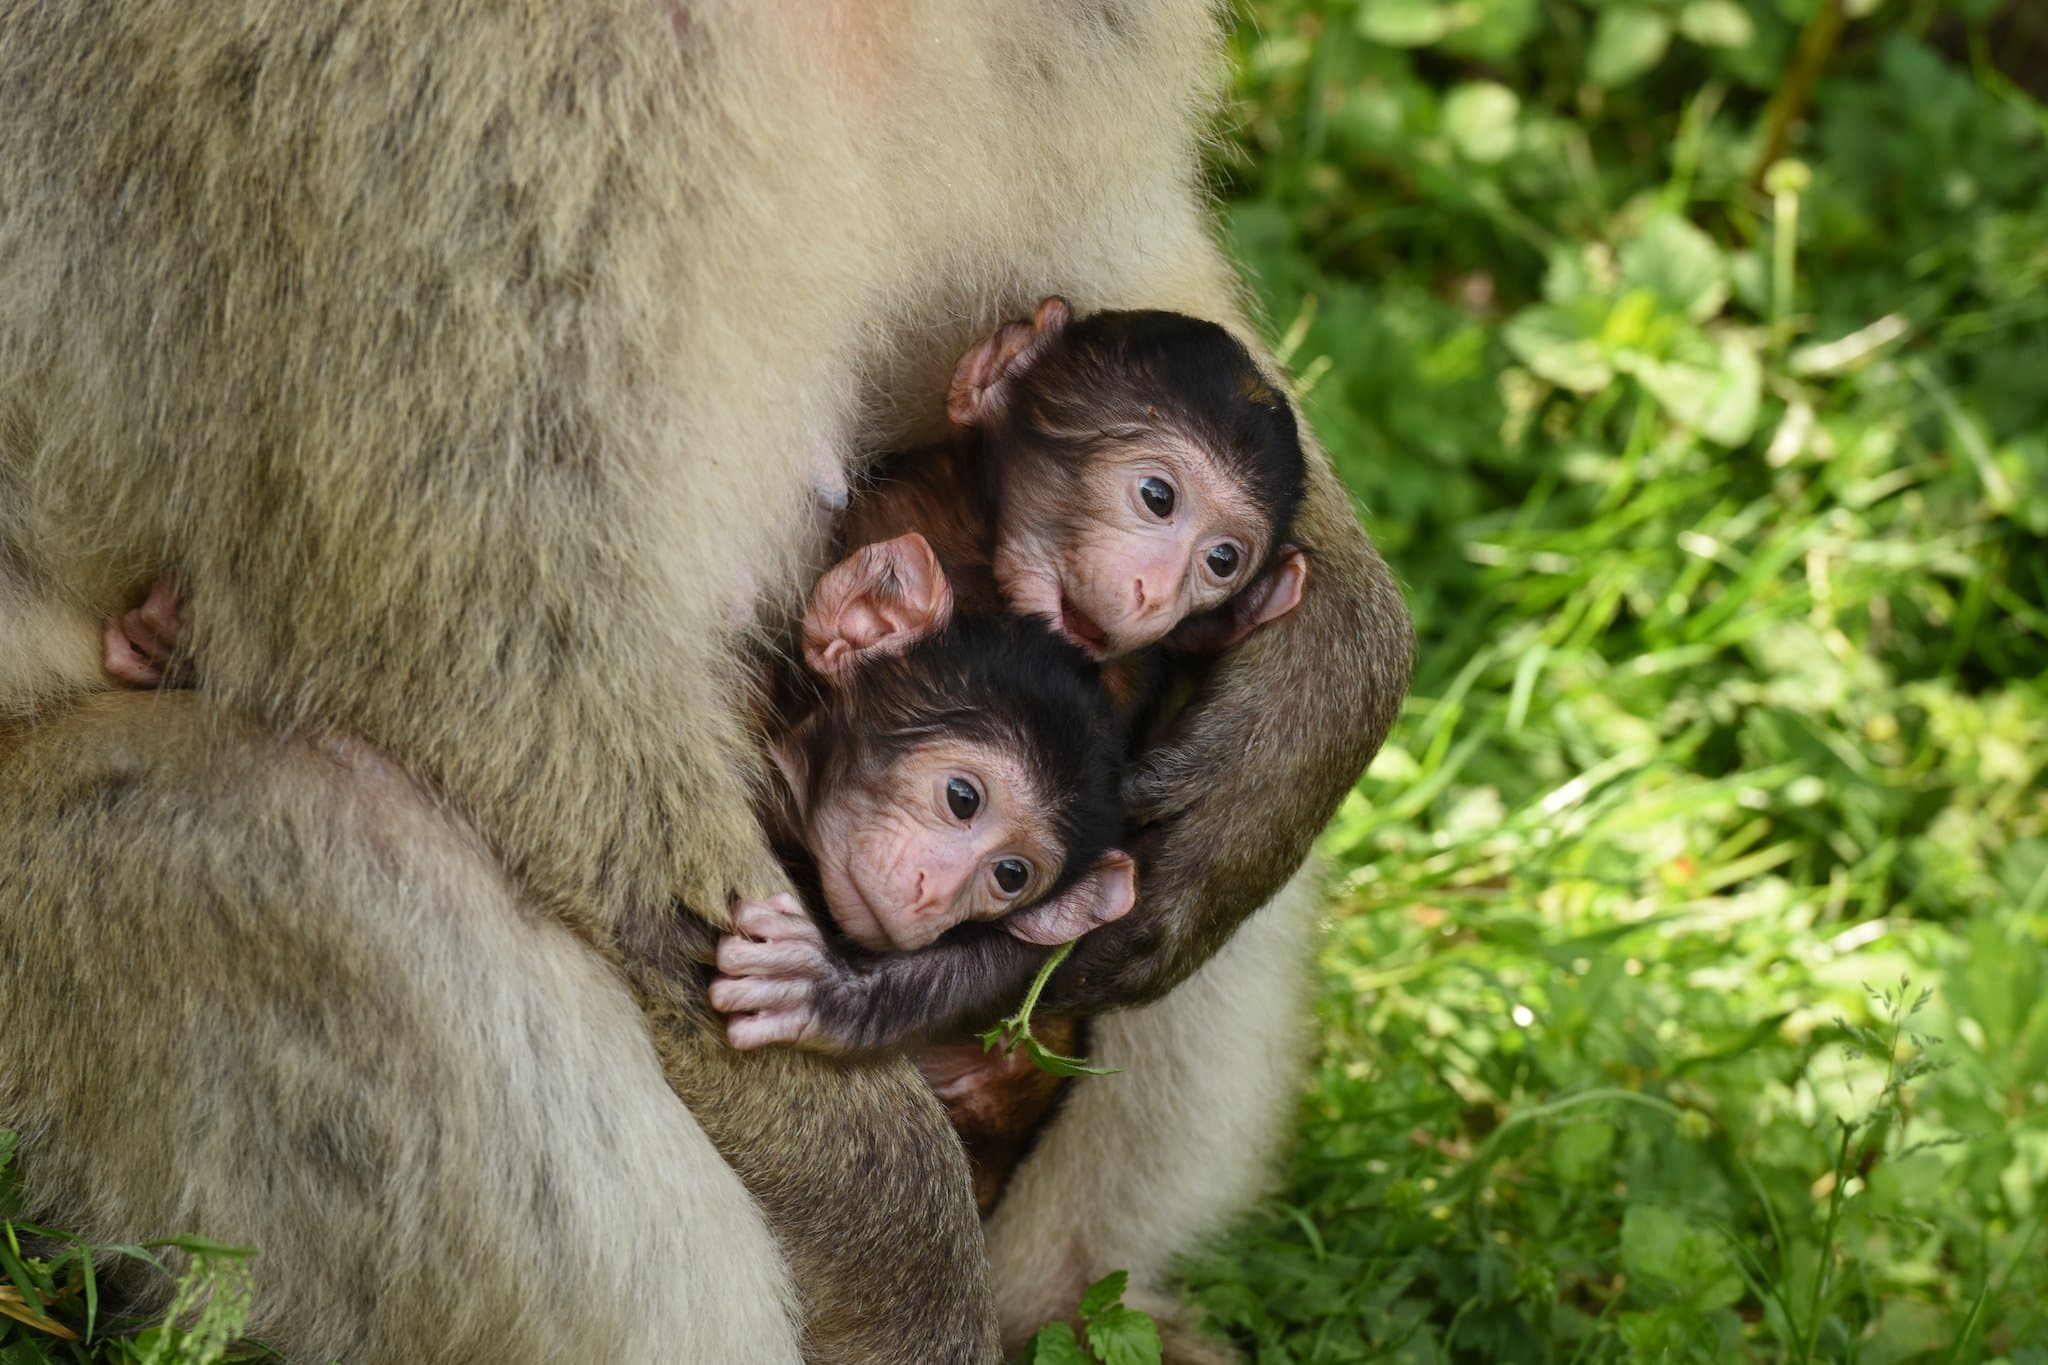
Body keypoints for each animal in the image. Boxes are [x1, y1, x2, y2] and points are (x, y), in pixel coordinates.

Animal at [0, 4, 1412, 1362]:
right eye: (1150, 497)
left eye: (1206, 539)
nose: (1164, 578)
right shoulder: (405, 84)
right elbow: (478, 659)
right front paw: (893, 1245)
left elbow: (1084, 273)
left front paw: (1320, 687)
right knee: (282, 837)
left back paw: (1068, 1305)